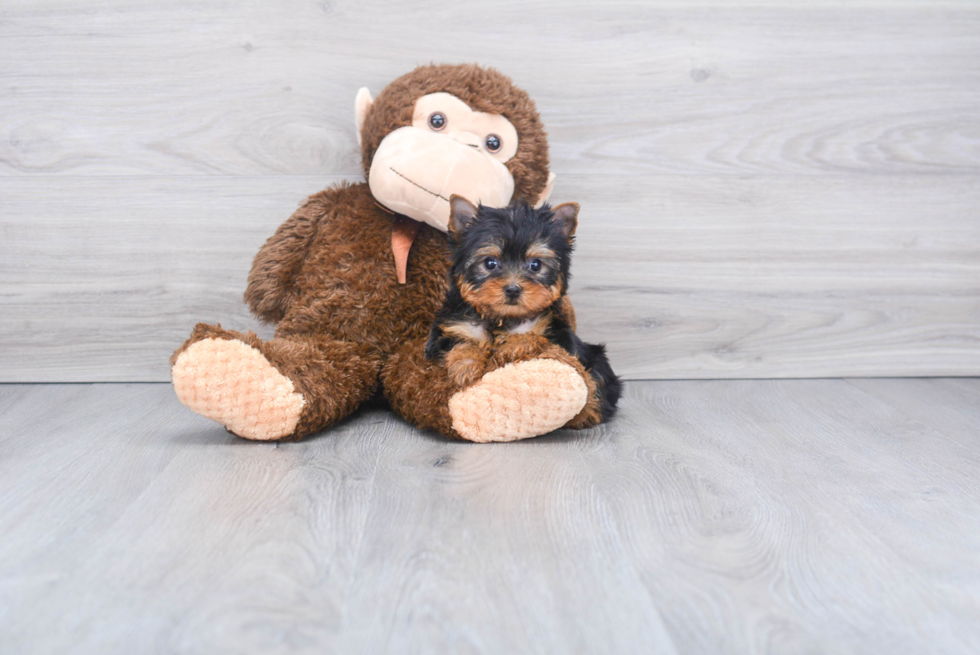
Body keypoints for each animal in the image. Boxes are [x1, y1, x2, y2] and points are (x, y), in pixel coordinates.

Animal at [424, 195, 620, 422]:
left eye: (535, 265)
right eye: (490, 263)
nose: (512, 289)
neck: (503, 318)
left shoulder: (556, 332)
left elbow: (534, 338)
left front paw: (510, 348)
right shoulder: (450, 329)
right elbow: (460, 343)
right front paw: (466, 365)